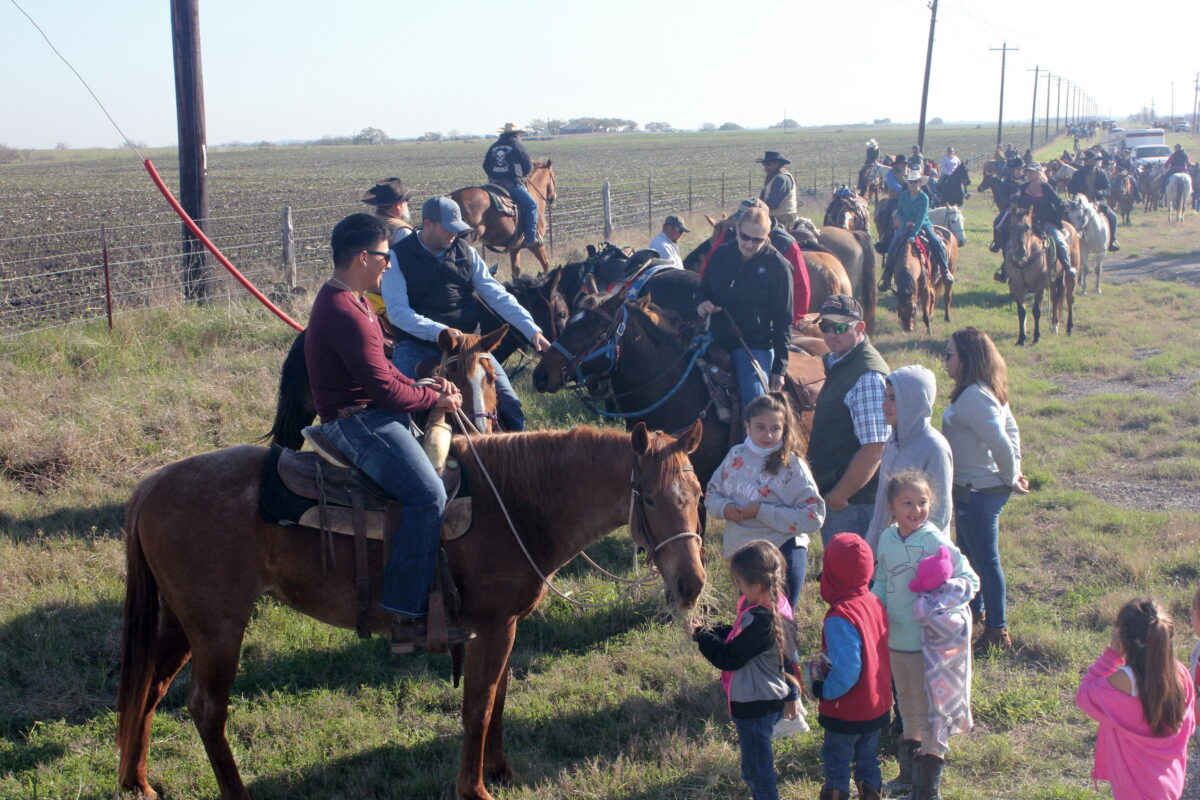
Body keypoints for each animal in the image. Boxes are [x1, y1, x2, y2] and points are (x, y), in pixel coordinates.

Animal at [114, 422, 700, 800]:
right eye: (649, 499)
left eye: (696, 494)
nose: (691, 584)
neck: (518, 502)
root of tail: (153, 484)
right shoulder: (491, 627)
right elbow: (478, 706)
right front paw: (475, 788)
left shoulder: (505, 626)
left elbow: (499, 698)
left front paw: (501, 771)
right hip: (219, 626)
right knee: (207, 709)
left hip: (180, 623)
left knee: (149, 689)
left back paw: (137, 782)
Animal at [1003, 206, 1080, 345]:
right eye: (1012, 226)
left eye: (1028, 227)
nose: (1020, 252)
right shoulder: (1016, 285)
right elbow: (1021, 311)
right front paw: (1021, 338)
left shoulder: (1039, 286)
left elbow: (1036, 311)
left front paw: (1036, 337)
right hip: (1053, 280)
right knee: (1055, 298)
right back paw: (1054, 326)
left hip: (1072, 276)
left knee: (1069, 299)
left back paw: (1069, 328)